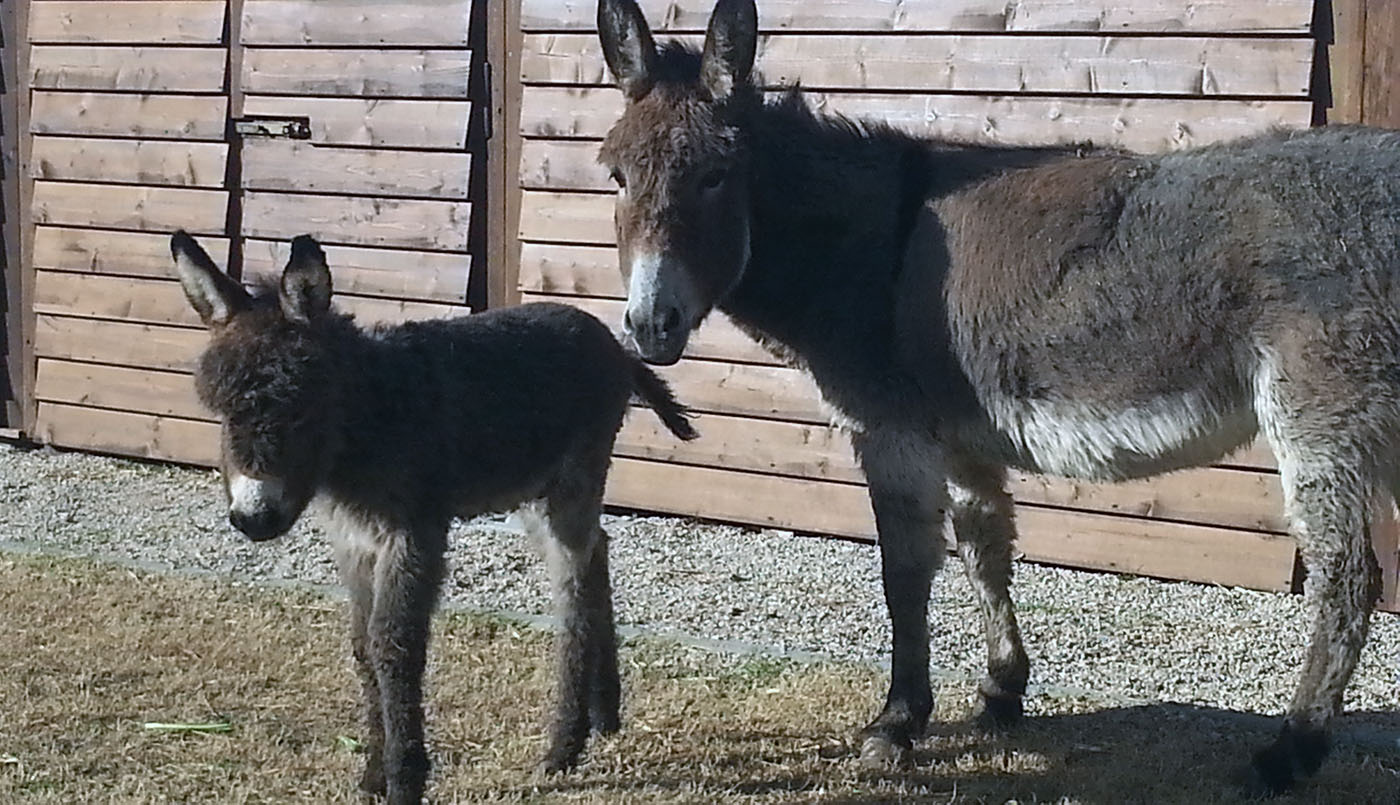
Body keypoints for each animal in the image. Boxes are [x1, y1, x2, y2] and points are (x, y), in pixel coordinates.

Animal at [172, 229, 697, 800]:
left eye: (303, 407)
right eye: (222, 412)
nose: (253, 517)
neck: (372, 416)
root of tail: (612, 344)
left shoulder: (414, 532)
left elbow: (395, 645)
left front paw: (405, 778)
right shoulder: (354, 542)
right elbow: (362, 646)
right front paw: (373, 773)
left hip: (572, 483)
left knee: (574, 585)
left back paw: (564, 745)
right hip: (535, 493)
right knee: (596, 551)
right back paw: (604, 713)